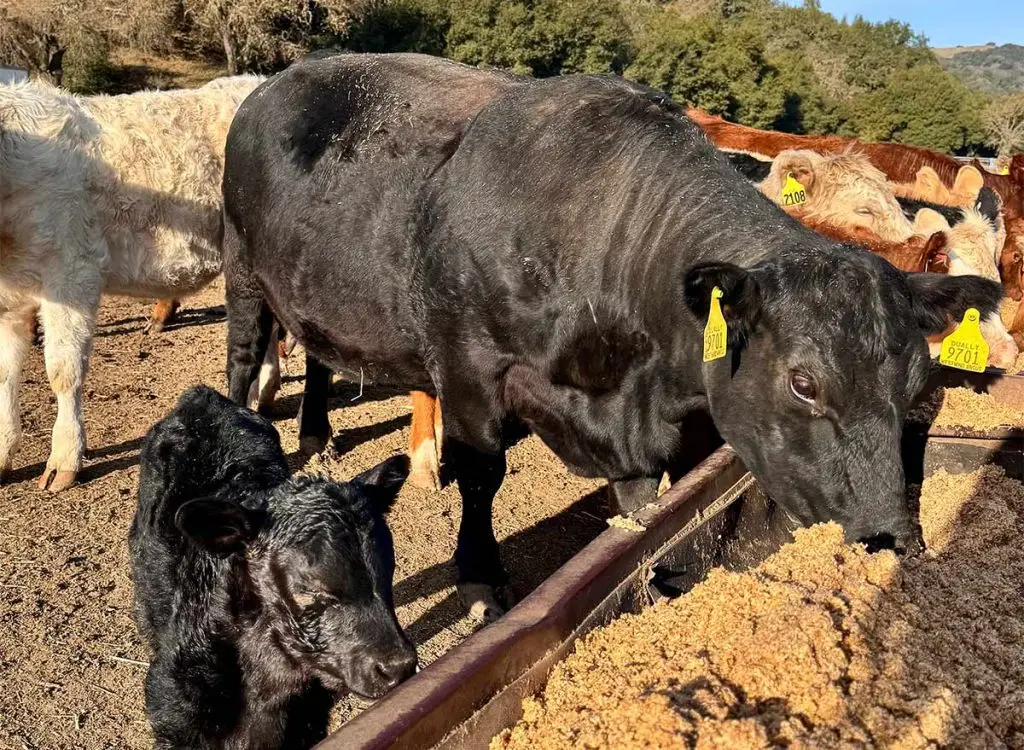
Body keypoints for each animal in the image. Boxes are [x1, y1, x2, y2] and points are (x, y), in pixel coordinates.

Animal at [221, 54, 1002, 623]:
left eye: (916, 378)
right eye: (804, 382)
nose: (886, 538)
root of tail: (278, 80)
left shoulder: (638, 425)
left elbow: (644, 509)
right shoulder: (467, 363)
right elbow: (481, 474)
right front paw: (481, 583)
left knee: (318, 356)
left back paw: (317, 431)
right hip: (243, 278)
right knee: (239, 368)